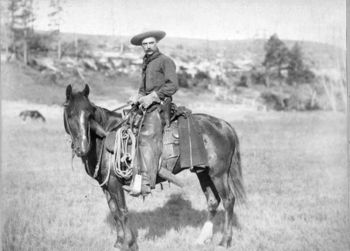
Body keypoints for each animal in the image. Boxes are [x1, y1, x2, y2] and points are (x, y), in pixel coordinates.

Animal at [63, 85, 246, 251]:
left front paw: (131, 244)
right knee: (213, 201)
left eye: (89, 114)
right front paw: (118, 243)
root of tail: (223, 125)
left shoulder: (115, 183)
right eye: (70, 114)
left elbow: (122, 212)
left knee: (228, 200)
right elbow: (114, 212)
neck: (105, 137)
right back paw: (202, 239)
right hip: (203, 172)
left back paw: (225, 241)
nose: (82, 148)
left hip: (219, 174)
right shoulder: (106, 185)